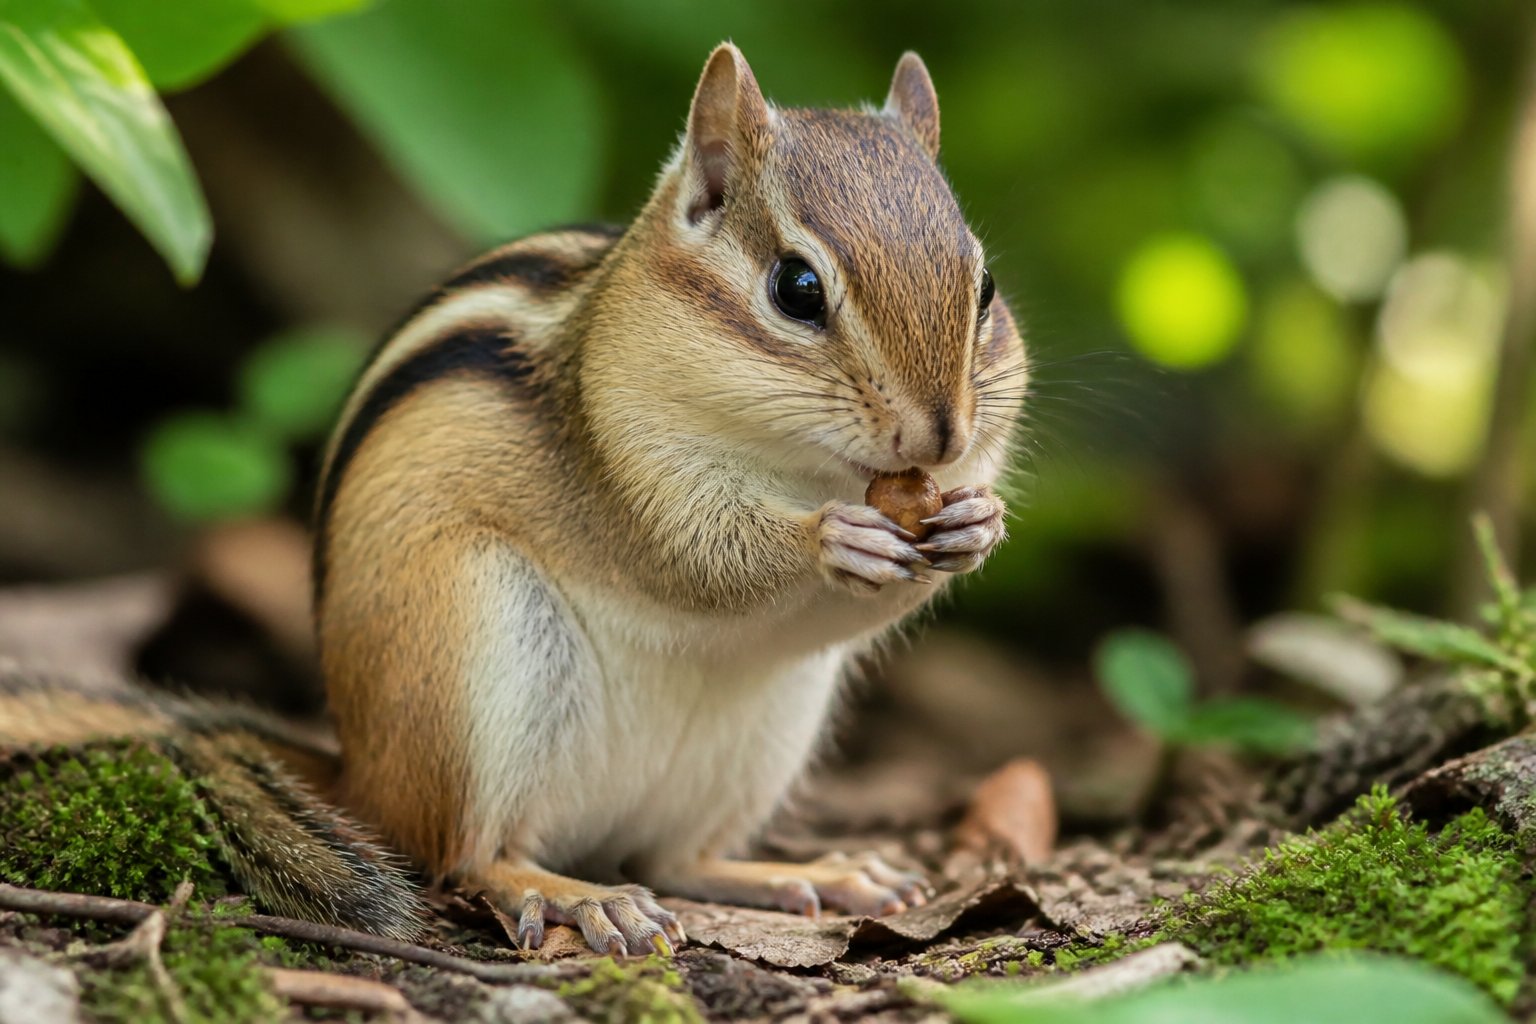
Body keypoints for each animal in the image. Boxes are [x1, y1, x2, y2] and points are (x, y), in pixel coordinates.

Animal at [1, 44, 1026, 956]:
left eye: (986, 286)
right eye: (798, 287)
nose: (939, 439)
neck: (802, 464)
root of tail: (358, 773)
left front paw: (977, 522)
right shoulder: (625, 465)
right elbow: (697, 558)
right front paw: (833, 539)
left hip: (768, 730)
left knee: (676, 858)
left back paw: (808, 874)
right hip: (477, 646)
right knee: (465, 856)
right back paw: (574, 895)